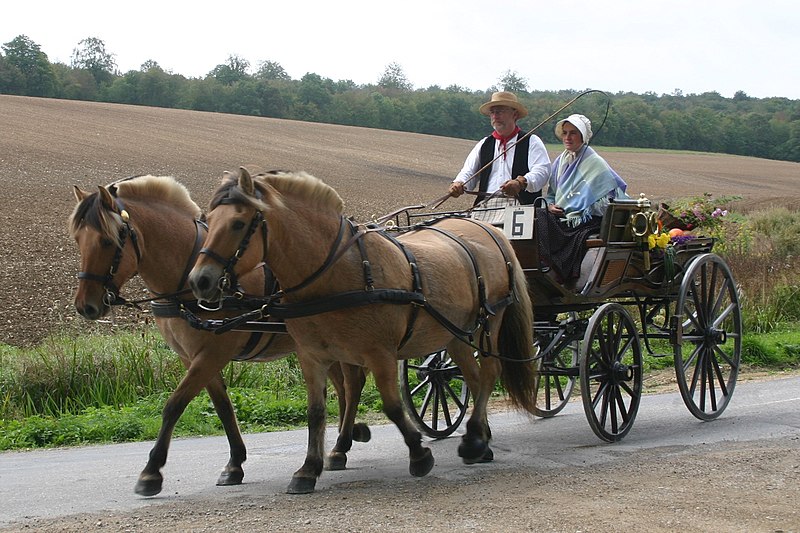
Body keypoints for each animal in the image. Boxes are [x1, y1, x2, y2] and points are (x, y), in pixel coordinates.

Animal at [69, 175, 368, 494]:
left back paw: (341, 444)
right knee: (342, 387)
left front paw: (151, 472)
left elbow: (174, 404)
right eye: (78, 240)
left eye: (107, 241)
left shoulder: (212, 354)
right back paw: (343, 439)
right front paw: (235, 463)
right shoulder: (193, 358)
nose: (86, 305)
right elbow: (223, 407)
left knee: (352, 384)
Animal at [188, 168, 536, 492]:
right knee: (475, 378)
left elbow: (392, 406)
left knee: (489, 372)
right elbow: (316, 412)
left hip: (488, 323)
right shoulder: (312, 356)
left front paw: (419, 455)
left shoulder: (380, 353)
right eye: (207, 219)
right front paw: (308, 469)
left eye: (238, 223)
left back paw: (475, 439)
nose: (199, 281)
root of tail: (488, 230)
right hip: (455, 335)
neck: (339, 271)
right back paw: (481, 439)